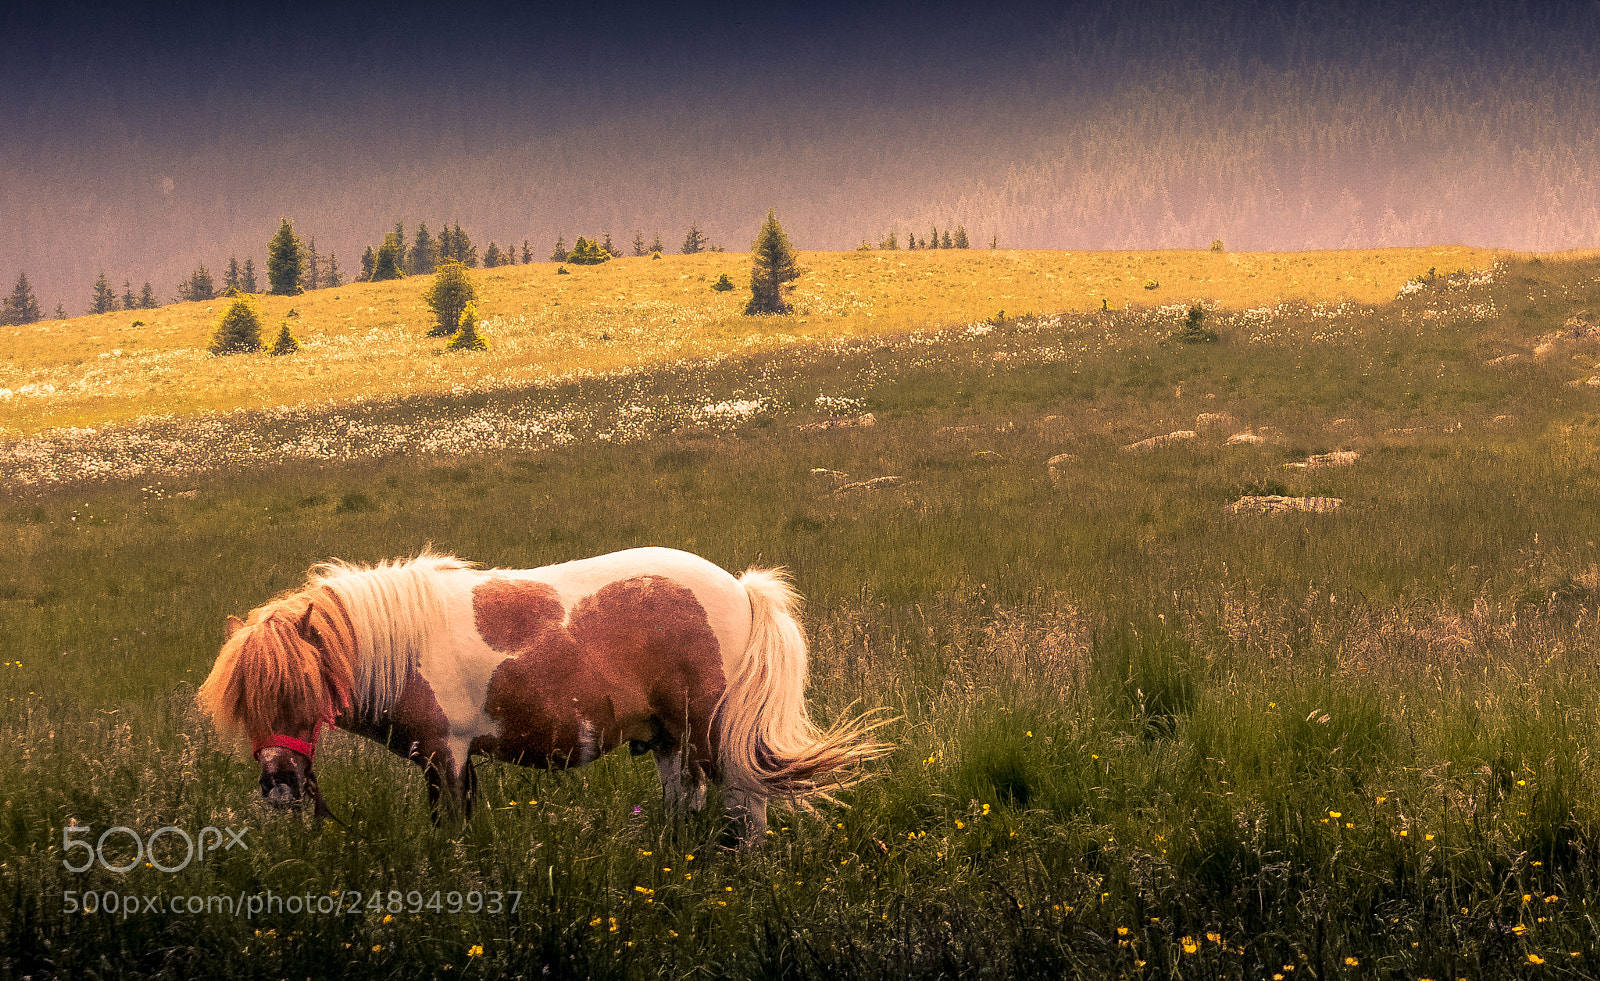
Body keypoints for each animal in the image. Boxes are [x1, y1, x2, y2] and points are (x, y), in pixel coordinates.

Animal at [198, 547, 886, 844]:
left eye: (301, 692)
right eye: (248, 706)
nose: (279, 784)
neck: (401, 643)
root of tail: (741, 589)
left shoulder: (445, 754)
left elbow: (450, 828)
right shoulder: (451, 759)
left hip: (711, 733)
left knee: (748, 806)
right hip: (671, 741)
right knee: (684, 804)